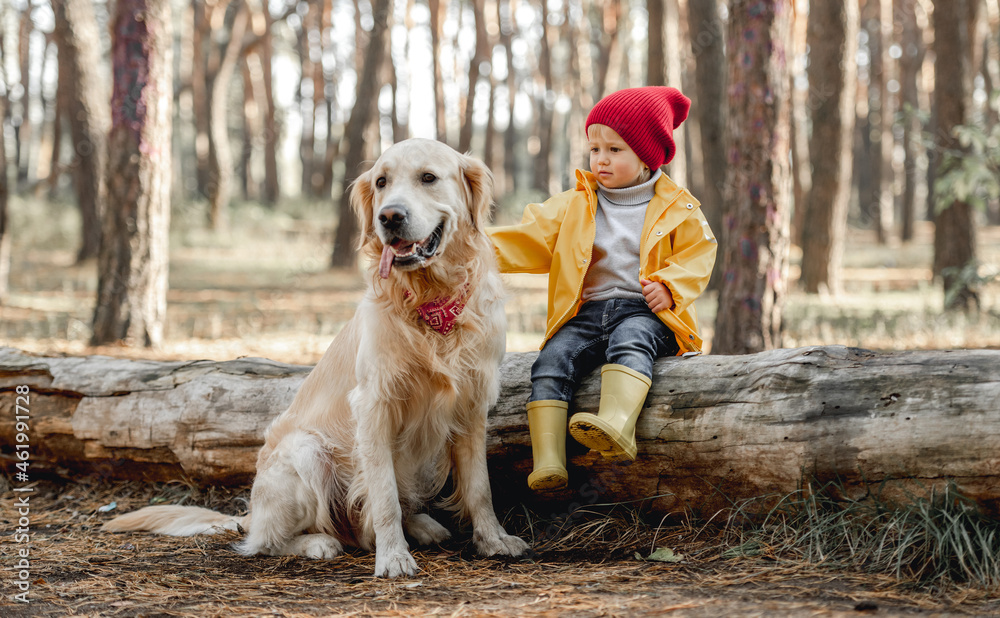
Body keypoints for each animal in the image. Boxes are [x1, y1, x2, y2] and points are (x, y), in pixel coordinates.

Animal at [105, 137, 532, 576]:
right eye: (381, 182)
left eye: (428, 177)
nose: (389, 216)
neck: (429, 303)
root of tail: (251, 513)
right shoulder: (373, 405)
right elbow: (384, 495)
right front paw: (393, 557)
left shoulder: (472, 401)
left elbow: (479, 487)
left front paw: (493, 539)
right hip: (305, 452)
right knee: (266, 541)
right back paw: (318, 543)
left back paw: (422, 526)